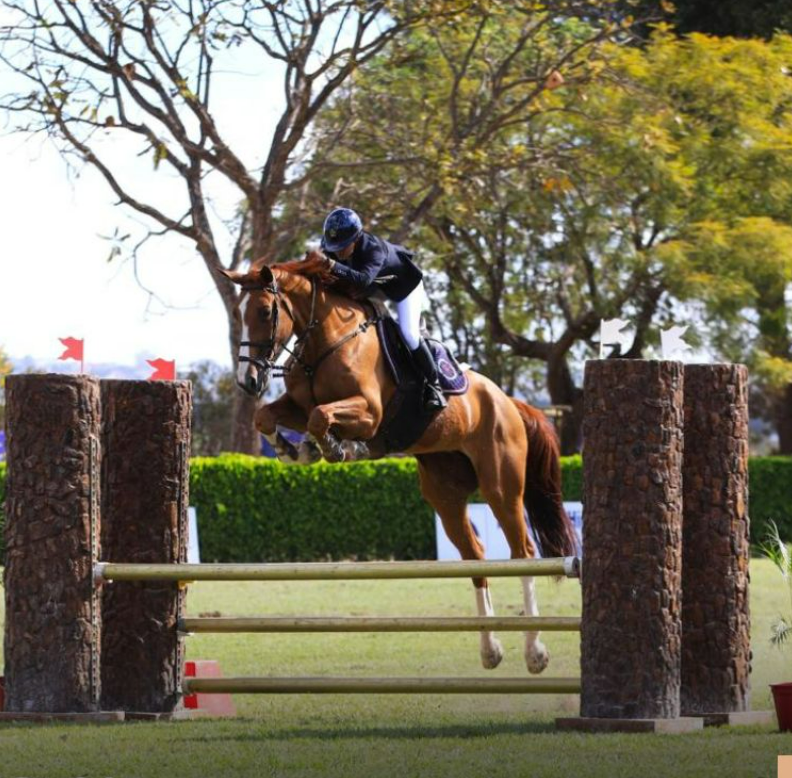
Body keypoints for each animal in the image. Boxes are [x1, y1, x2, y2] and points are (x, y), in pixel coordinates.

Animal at [223, 256, 576, 672]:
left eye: (265, 311)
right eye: (238, 313)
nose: (247, 380)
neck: (325, 343)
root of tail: (510, 402)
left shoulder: (369, 413)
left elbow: (321, 417)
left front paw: (338, 448)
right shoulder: (296, 405)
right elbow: (267, 416)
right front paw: (296, 450)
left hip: (501, 487)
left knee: (523, 553)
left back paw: (535, 652)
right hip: (444, 492)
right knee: (475, 556)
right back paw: (490, 650)